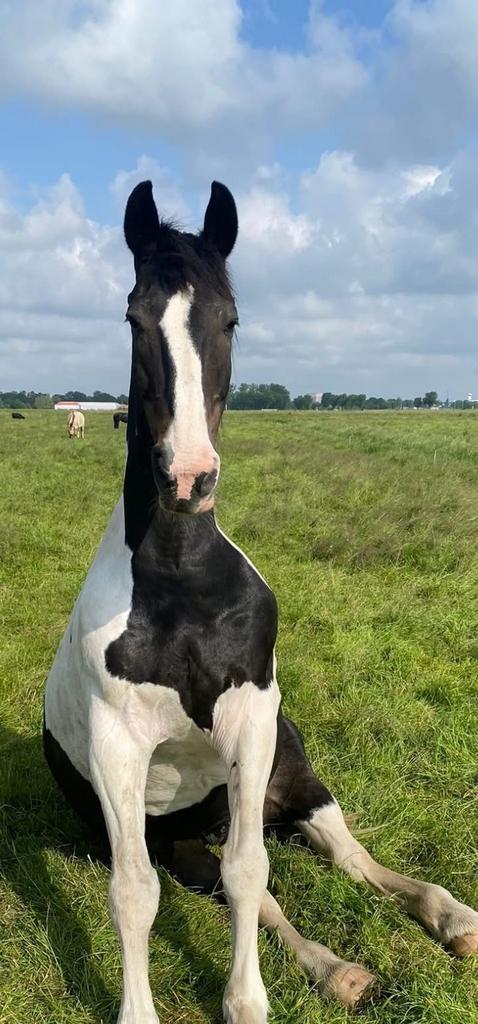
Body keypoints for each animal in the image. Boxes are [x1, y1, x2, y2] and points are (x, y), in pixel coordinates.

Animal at [44, 180, 478, 1024]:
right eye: (135, 318)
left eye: (230, 319)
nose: (188, 477)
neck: (179, 583)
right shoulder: (117, 750)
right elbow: (136, 892)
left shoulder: (252, 719)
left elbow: (253, 871)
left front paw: (247, 1004)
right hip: (182, 835)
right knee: (234, 881)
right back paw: (340, 970)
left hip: (288, 762)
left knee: (339, 852)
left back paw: (450, 916)